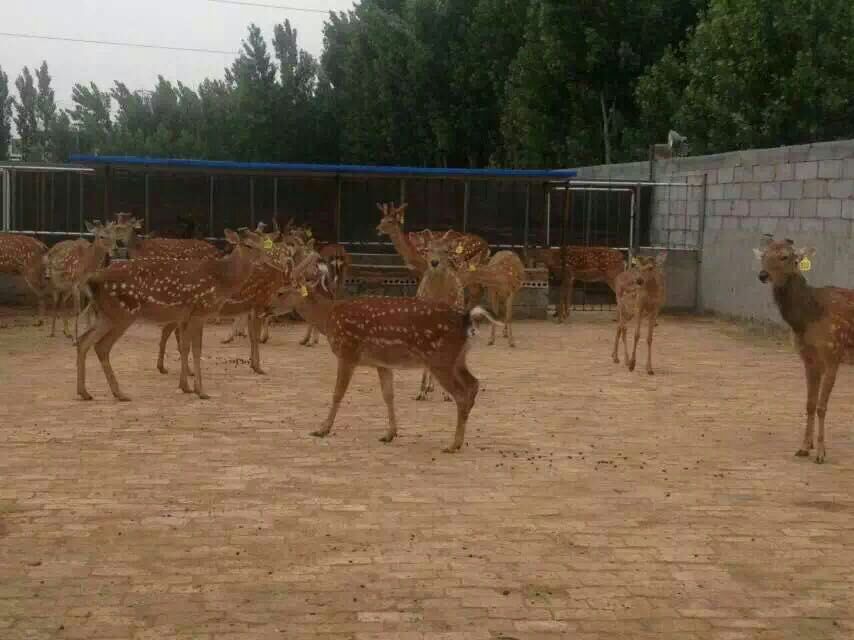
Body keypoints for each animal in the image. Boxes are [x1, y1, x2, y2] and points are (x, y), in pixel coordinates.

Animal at [76, 229, 272, 400]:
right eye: (247, 245)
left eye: (263, 243)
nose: (266, 261)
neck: (222, 280)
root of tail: (93, 279)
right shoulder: (200, 311)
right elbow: (196, 349)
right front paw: (201, 391)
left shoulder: (185, 317)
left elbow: (184, 347)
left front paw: (185, 386)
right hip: (123, 312)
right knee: (101, 346)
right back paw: (120, 394)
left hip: (106, 314)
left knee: (83, 340)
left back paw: (85, 392)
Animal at [272, 252, 502, 452]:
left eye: (281, 292)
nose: (268, 309)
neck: (328, 318)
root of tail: (466, 320)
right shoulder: (382, 363)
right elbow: (388, 395)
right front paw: (389, 434)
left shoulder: (348, 351)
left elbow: (338, 393)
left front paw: (322, 429)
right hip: (458, 358)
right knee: (473, 384)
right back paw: (458, 439)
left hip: (441, 359)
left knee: (462, 393)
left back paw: (453, 445)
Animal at [756, 238, 854, 462]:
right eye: (764, 255)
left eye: (784, 256)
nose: (762, 275)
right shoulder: (808, 359)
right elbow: (809, 404)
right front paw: (804, 447)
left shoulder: (833, 353)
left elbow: (821, 407)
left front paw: (821, 453)